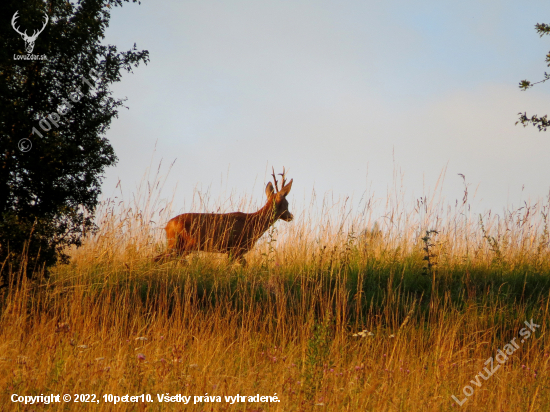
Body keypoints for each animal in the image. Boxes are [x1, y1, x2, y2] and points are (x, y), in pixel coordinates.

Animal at [153, 169, 296, 266]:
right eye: (286, 204)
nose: (291, 216)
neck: (254, 222)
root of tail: (167, 225)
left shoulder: (232, 251)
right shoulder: (236, 248)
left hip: (176, 244)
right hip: (184, 243)